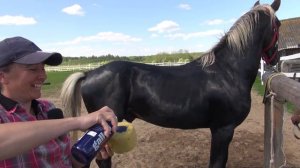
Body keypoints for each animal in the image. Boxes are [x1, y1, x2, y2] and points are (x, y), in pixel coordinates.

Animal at [61, 0, 282, 167]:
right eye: (278, 24)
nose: (275, 58)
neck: (227, 71)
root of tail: (89, 73)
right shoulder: (223, 130)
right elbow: (217, 163)